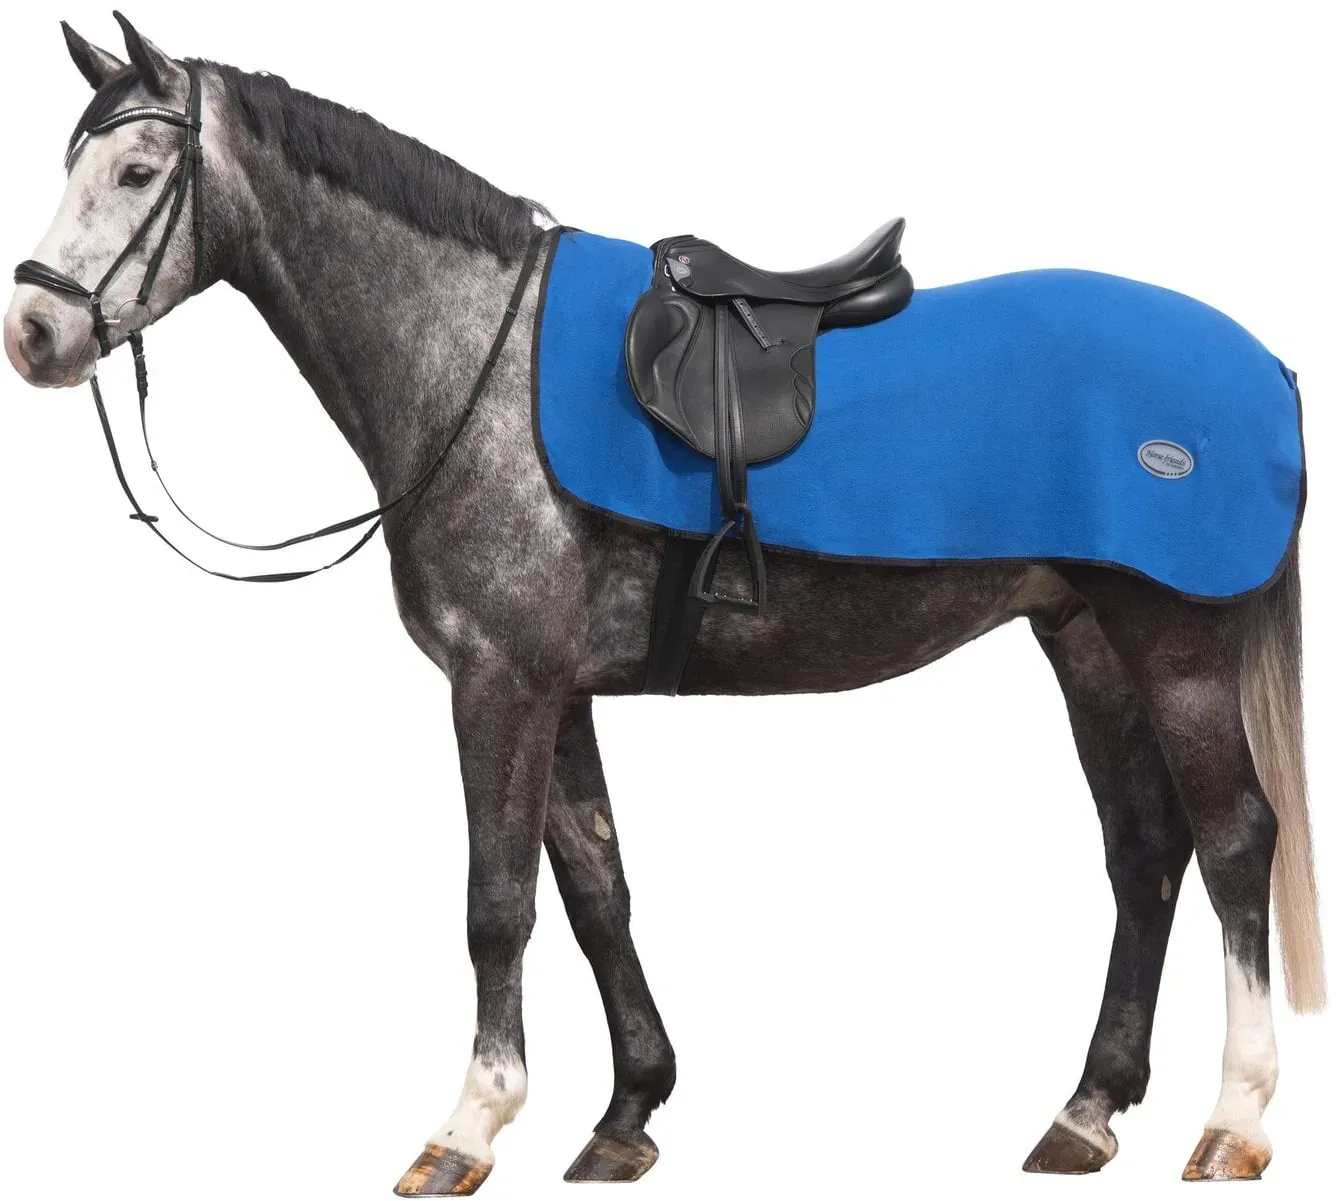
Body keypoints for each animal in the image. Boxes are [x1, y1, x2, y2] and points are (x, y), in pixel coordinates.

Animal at [4, 15, 1324, 1193]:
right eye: (71, 164)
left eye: (136, 171)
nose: (35, 330)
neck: (477, 362)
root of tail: (1263, 366)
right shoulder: (557, 691)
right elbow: (596, 890)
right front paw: (626, 1111)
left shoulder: (499, 684)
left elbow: (496, 905)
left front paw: (468, 1127)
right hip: (1083, 637)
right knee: (1142, 851)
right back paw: (1084, 1111)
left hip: (1173, 647)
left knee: (1231, 842)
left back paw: (1231, 1120)